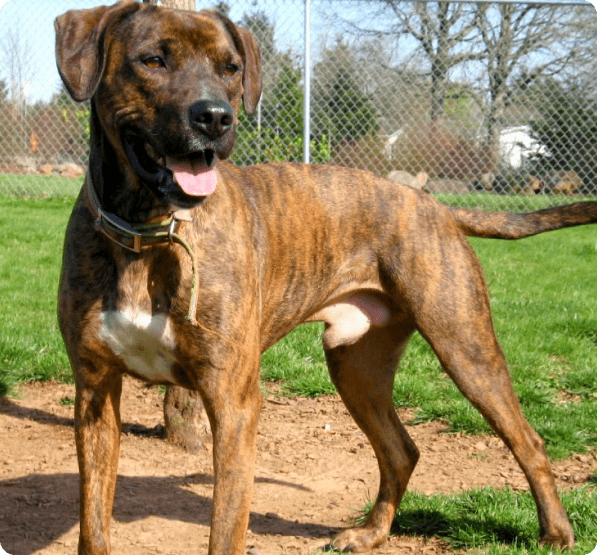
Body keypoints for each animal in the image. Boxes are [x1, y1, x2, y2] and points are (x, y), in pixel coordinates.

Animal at [53, 2, 592, 552]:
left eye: (231, 68)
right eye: (153, 60)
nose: (216, 117)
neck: (147, 231)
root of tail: (435, 205)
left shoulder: (233, 403)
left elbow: (225, 530)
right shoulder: (95, 394)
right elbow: (94, 526)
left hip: (465, 346)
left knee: (527, 440)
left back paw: (556, 532)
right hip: (357, 366)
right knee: (401, 451)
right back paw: (371, 534)